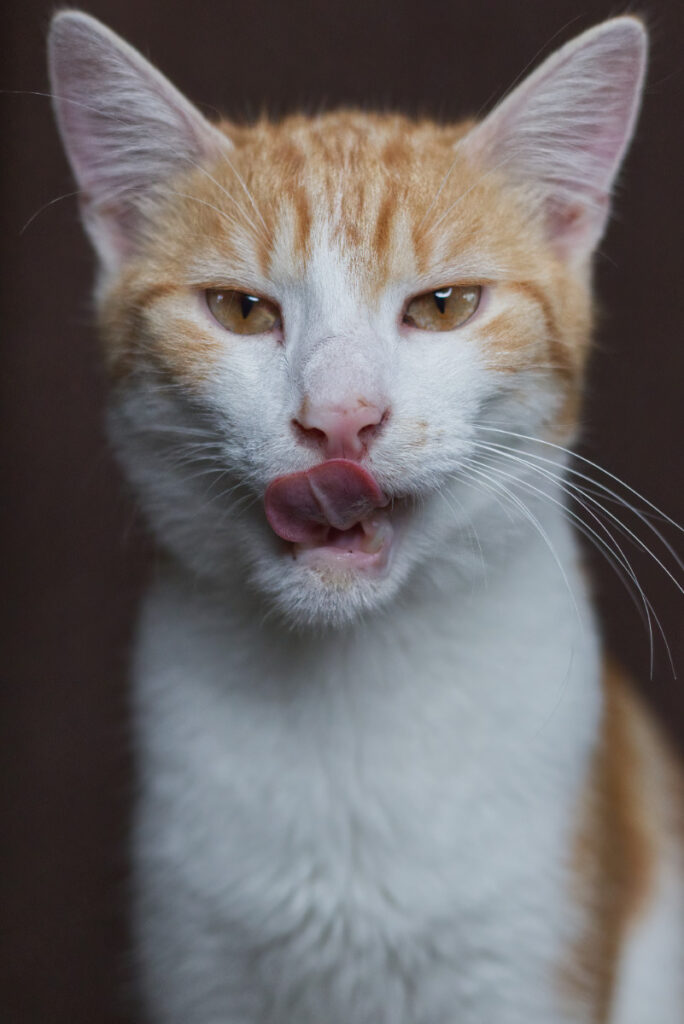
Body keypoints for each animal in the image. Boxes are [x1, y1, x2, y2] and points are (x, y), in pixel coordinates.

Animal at [49, 9, 684, 1024]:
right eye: (240, 309)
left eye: (445, 305)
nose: (341, 417)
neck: (343, 703)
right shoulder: (198, 959)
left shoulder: (528, 952)